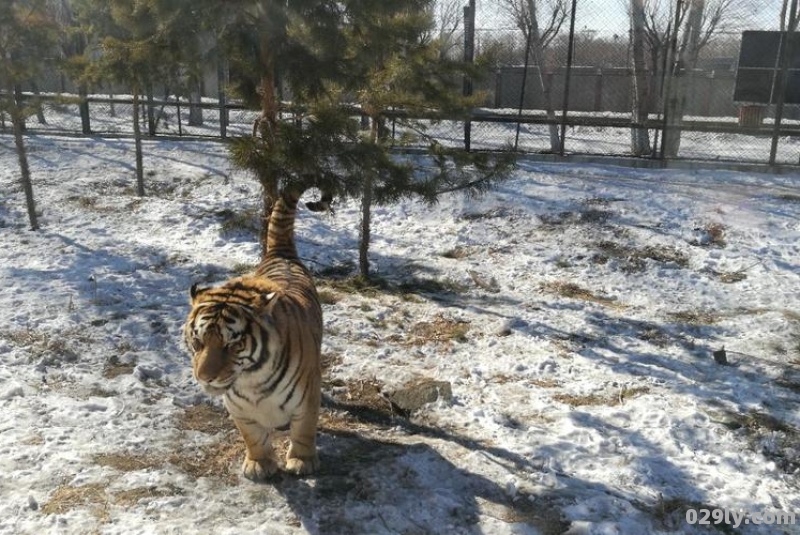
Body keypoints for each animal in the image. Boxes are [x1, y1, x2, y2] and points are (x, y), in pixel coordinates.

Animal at [183, 189, 326, 482]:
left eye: (232, 343)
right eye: (198, 341)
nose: (204, 377)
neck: (252, 380)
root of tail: (280, 255)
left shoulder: (307, 396)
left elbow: (304, 429)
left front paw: (302, 461)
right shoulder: (239, 408)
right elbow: (252, 437)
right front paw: (259, 464)